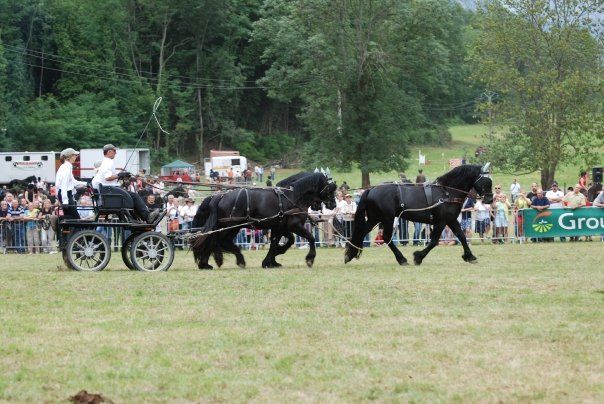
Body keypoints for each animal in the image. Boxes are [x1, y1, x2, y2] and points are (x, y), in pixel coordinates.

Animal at [192, 173, 338, 270]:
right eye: (329, 189)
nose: (333, 205)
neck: (294, 197)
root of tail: (220, 196)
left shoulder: (280, 227)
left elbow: (279, 242)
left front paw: (272, 259)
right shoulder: (294, 225)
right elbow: (311, 238)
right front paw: (310, 259)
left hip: (229, 225)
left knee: (213, 239)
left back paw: (207, 263)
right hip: (232, 225)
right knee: (218, 240)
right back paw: (234, 260)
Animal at [344, 163, 490, 266]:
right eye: (486, 181)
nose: (489, 199)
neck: (447, 192)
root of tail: (371, 189)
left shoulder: (451, 220)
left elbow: (462, 236)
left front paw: (470, 256)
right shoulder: (441, 221)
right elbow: (434, 241)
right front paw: (418, 257)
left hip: (375, 218)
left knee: (362, 232)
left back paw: (350, 254)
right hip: (387, 218)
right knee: (386, 237)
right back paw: (401, 259)